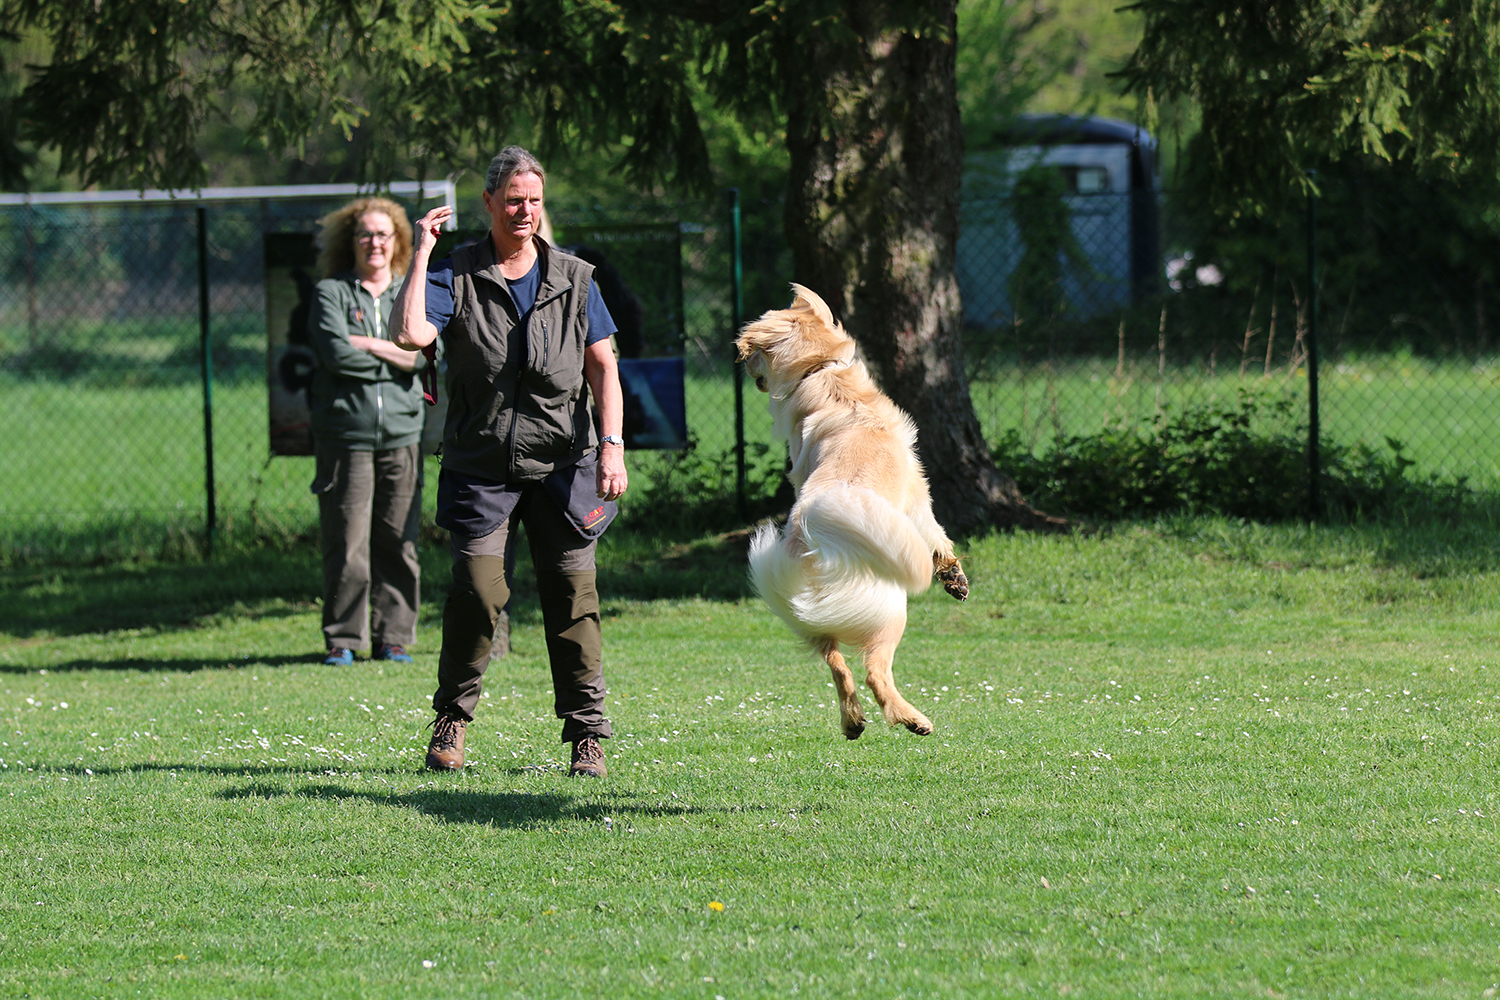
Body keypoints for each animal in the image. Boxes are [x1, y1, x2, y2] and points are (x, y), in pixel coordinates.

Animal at [735, 284, 969, 739]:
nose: (741, 362)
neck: (823, 375)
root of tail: (815, 549)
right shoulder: (917, 492)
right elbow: (936, 533)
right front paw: (952, 574)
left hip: (810, 615)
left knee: (836, 663)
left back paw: (853, 721)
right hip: (891, 611)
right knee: (874, 672)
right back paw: (912, 718)